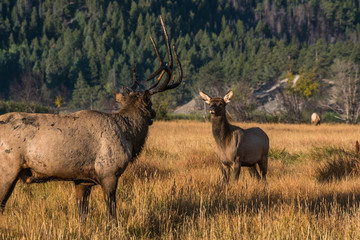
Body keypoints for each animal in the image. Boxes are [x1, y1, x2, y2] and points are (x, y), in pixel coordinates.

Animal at [0, 15, 181, 222]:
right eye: (150, 105)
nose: (154, 115)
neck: (129, 135)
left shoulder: (82, 181)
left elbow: (82, 215)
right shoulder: (109, 173)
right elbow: (112, 213)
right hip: (8, 168)